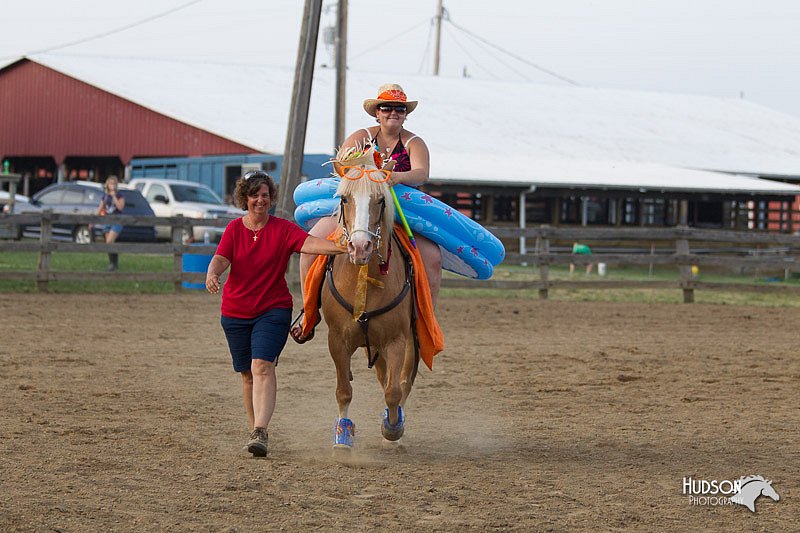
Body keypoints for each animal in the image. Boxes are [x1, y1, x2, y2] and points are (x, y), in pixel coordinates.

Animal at [322, 145, 418, 448]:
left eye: (381, 200)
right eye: (344, 199)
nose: (360, 246)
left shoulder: (397, 340)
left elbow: (393, 391)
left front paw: (393, 428)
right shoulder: (337, 340)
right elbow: (344, 390)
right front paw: (343, 437)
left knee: (400, 382)